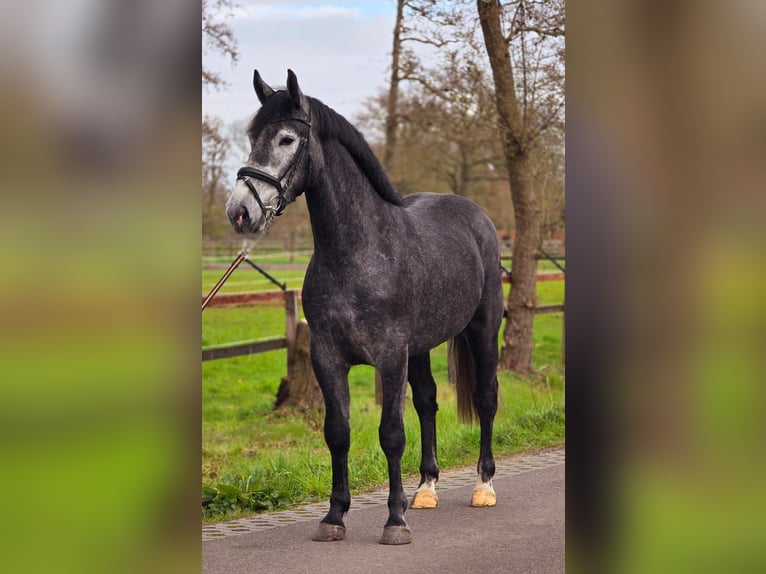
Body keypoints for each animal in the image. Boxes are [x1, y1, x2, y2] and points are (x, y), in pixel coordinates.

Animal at [225, 69, 503, 545]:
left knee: (485, 397)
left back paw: (483, 486)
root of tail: (477, 216)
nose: (240, 212)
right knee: (427, 402)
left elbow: (391, 434)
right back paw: (426, 489)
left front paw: (394, 521)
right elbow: (337, 433)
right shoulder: (327, 356)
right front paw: (334, 516)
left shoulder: (390, 355)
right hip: (421, 347)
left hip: (482, 329)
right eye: (251, 136)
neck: (358, 252)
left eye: (286, 139)